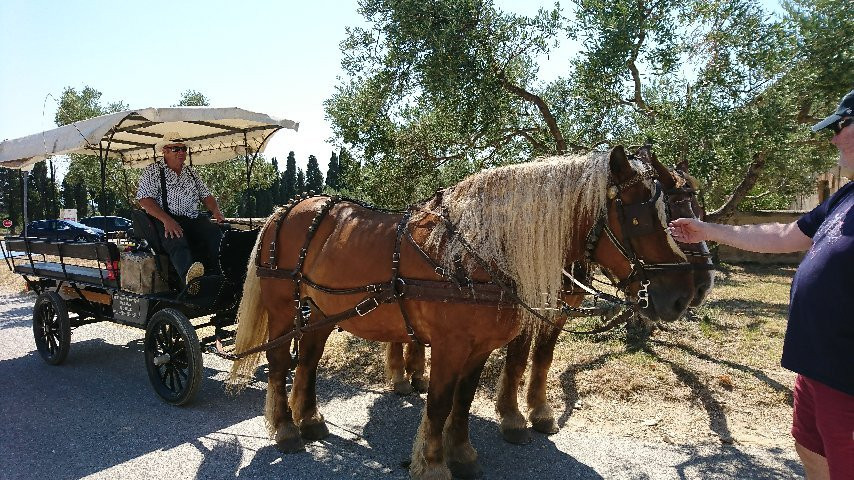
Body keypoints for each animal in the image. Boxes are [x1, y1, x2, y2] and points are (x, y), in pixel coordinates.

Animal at [227, 147, 696, 480]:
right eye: (637, 220)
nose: (683, 295)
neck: (475, 255)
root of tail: (283, 211)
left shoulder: (481, 347)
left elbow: (465, 398)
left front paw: (463, 452)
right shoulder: (451, 346)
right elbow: (438, 402)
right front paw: (434, 464)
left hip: (323, 310)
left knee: (306, 361)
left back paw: (309, 420)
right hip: (284, 309)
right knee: (278, 362)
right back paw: (286, 429)